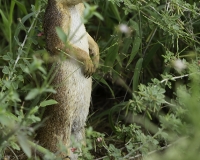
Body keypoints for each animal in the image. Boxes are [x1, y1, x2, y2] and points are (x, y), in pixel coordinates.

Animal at [35, 0, 99, 159]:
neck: (72, 8)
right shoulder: (57, 17)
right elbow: (58, 44)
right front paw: (88, 62)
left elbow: (89, 37)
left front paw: (96, 57)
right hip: (60, 133)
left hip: (80, 134)